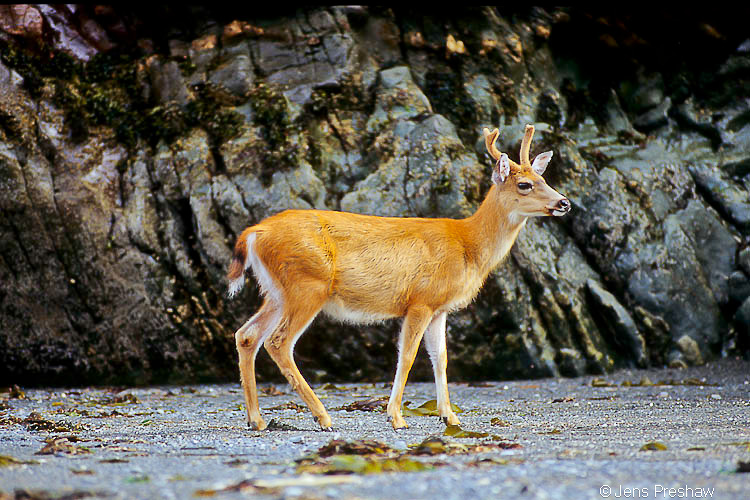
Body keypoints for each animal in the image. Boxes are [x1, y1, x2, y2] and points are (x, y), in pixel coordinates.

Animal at [226, 124, 572, 430]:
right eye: (524, 184)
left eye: (543, 178)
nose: (564, 202)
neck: (468, 244)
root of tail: (253, 233)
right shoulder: (420, 301)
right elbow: (407, 356)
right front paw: (396, 417)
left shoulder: (440, 309)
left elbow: (441, 358)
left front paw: (449, 416)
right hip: (307, 285)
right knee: (278, 342)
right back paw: (322, 417)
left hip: (277, 292)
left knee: (246, 335)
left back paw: (256, 419)